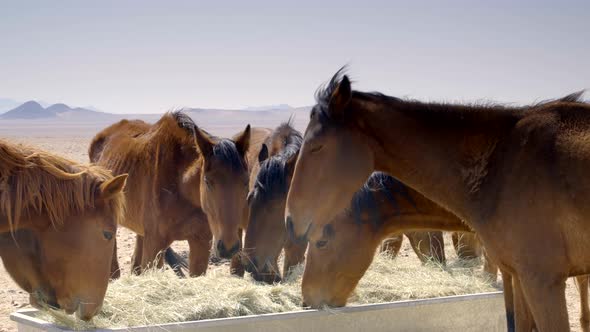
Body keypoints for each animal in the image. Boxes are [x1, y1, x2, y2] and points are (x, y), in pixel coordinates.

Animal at [89, 111, 251, 274]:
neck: (180, 187)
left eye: (246, 181)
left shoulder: (201, 242)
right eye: (207, 181)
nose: (229, 247)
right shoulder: (154, 244)